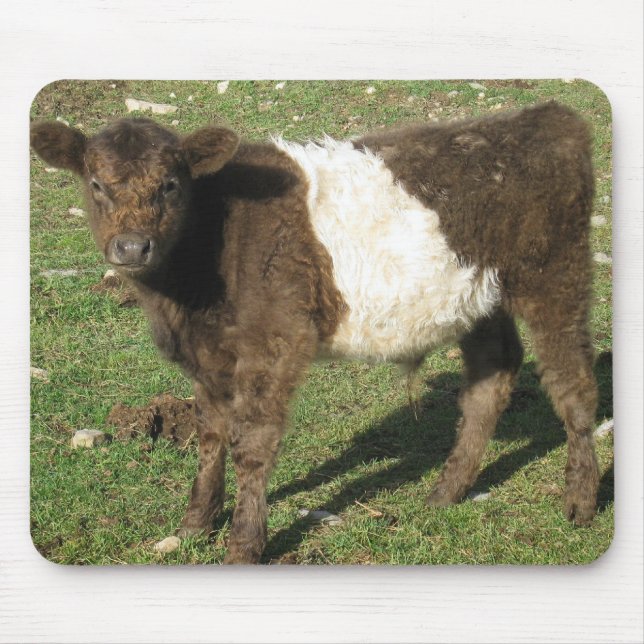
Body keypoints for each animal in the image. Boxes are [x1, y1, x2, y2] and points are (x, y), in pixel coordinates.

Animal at [30, 101, 599, 563]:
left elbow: (252, 445)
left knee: (573, 384)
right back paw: (445, 492)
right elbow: (210, 436)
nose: (131, 247)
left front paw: (243, 544)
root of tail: (546, 116)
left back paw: (581, 502)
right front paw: (195, 525)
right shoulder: (207, 357)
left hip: (557, 277)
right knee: (492, 377)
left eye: (170, 184)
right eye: (96, 184)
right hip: (480, 298)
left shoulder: (274, 344)